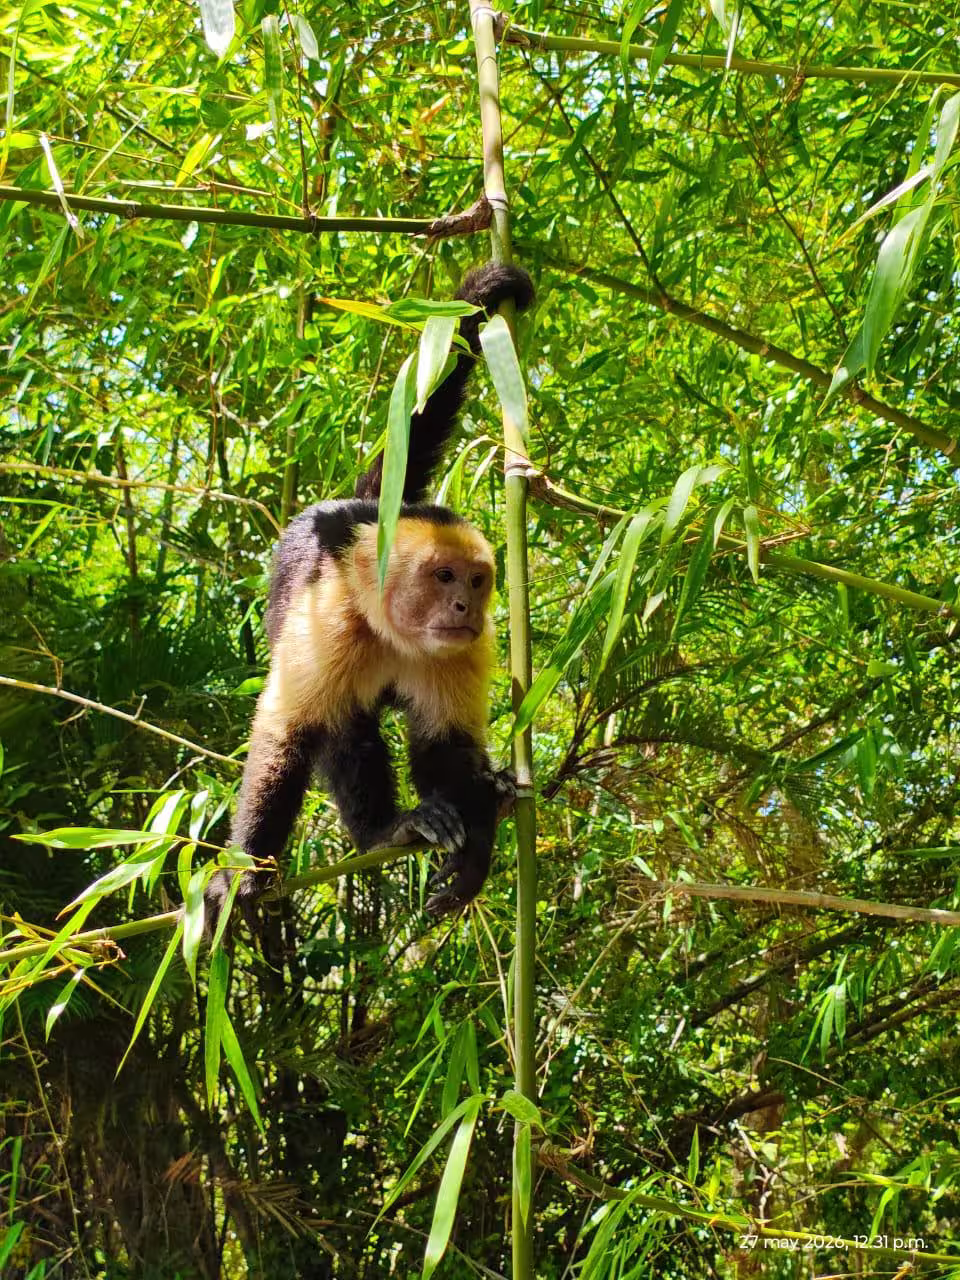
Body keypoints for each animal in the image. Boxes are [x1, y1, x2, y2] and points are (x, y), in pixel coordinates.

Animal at [206, 262, 534, 931]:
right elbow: (287, 732)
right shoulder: (331, 619)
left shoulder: (466, 647)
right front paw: (243, 872)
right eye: (443, 577)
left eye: (477, 580)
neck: (395, 631)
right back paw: (384, 832)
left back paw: (477, 803)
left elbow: (446, 742)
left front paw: (471, 854)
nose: (465, 607)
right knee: (342, 725)